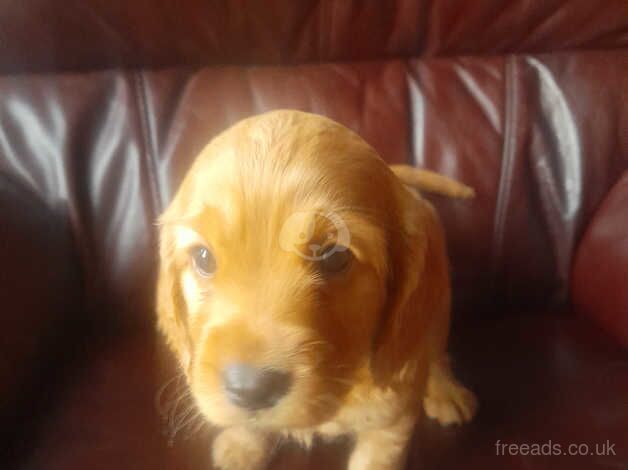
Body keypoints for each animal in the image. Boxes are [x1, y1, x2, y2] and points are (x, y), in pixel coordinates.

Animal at [157, 111, 476, 470]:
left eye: (335, 257)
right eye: (203, 257)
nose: (251, 389)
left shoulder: (392, 418)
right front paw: (242, 444)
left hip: (438, 304)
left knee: (434, 350)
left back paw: (446, 392)